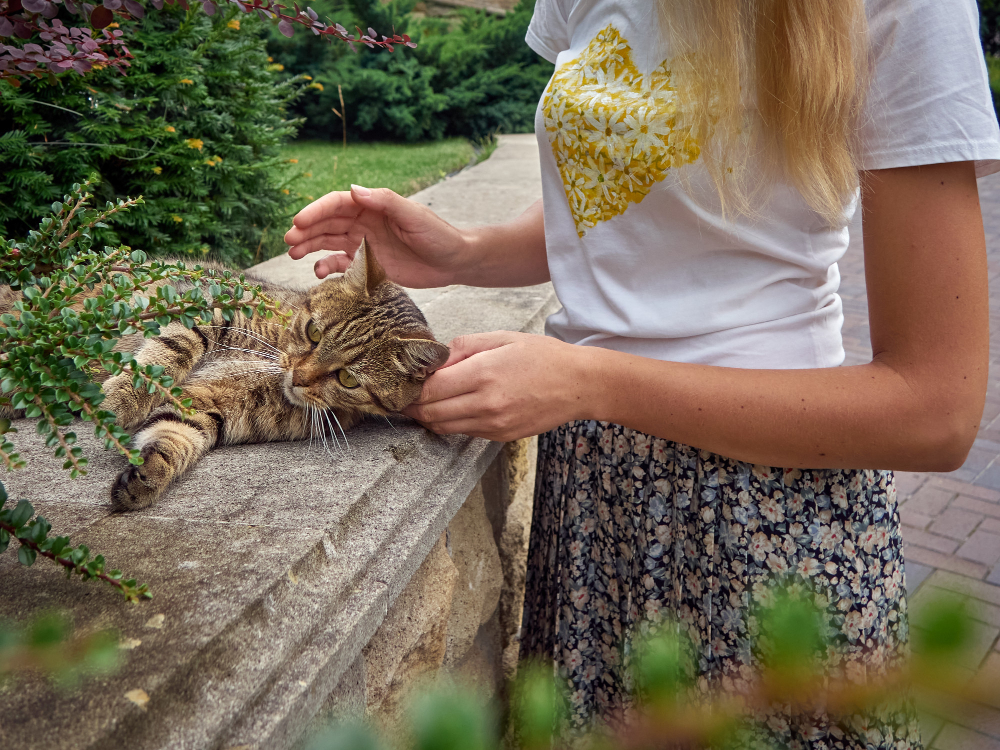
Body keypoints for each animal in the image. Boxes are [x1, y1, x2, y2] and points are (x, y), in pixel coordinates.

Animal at [97, 239, 450, 512]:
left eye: (348, 379)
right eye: (313, 332)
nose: (298, 377)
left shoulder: (216, 405)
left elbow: (175, 432)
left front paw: (149, 475)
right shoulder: (210, 306)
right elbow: (174, 347)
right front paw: (122, 399)